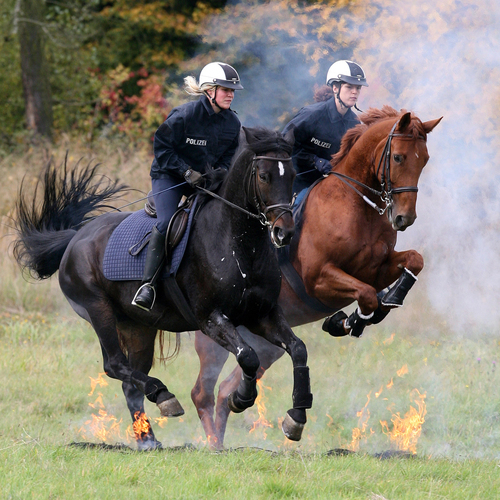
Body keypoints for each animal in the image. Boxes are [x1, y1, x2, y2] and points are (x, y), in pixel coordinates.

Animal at [13, 128, 314, 450]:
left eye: (293, 174)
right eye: (264, 176)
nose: (284, 232)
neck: (239, 245)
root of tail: (74, 237)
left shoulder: (263, 315)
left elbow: (298, 349)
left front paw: (296, 418)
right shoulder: (211, 319)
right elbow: (248, 355)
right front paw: (241, 398)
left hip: (138, 326)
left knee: (131, 383)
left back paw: (148, 437)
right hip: (98, 310)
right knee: (114, 365)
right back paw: (163, 395)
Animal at [188, 105, 442, 450]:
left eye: (424, 159)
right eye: (400, 157)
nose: (405, 218)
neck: (355, 205)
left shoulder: (376, 269)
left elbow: (413, 262)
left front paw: (375, 308)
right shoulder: (320, 279)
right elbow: (366, 295)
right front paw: (348, 321)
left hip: (263, 338)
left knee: (227, 389)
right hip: (214, 332)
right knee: (202, 392)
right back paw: (214, 443)